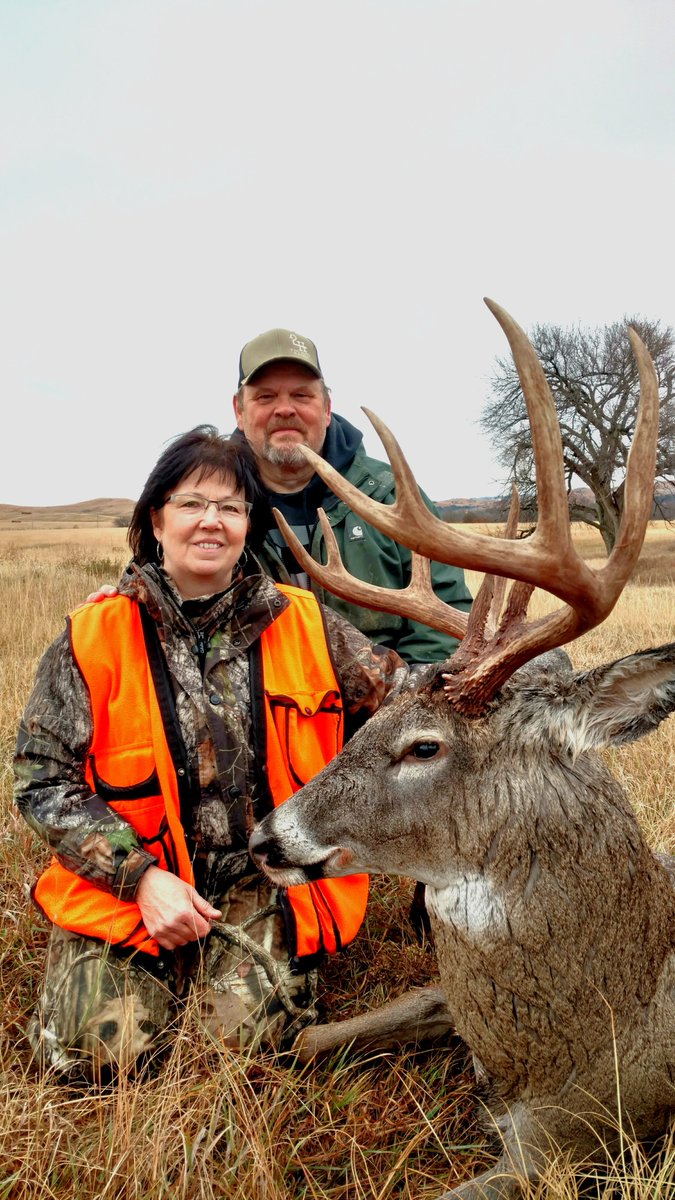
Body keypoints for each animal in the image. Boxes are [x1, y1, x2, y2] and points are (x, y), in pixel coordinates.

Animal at [247, 302, 672, 1200]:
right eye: (372, 717)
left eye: (423, 746)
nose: (267, 838)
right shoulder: (443, 994)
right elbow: (304, 1039)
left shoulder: (571, 1144)